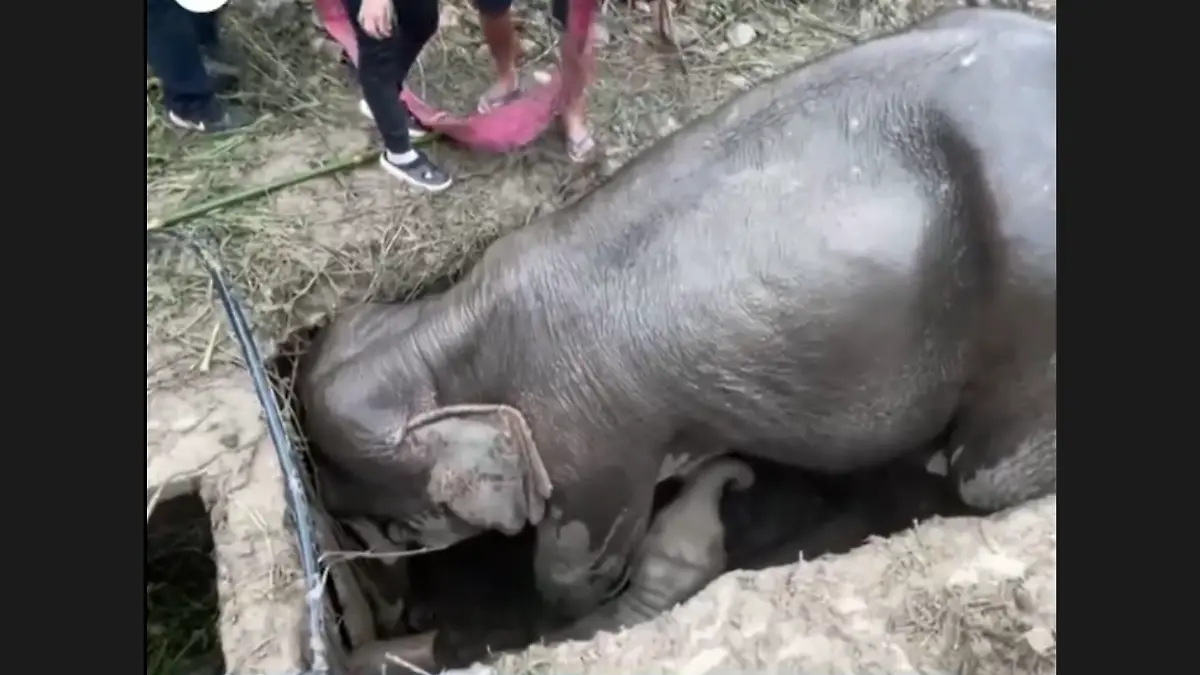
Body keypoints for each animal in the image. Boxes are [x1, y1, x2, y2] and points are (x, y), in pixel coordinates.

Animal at [300, 5, 1056, 622]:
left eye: (397, 529)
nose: (392, 610)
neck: (445, 326)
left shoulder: (590, 445)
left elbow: (575, 576)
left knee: (982, 475)